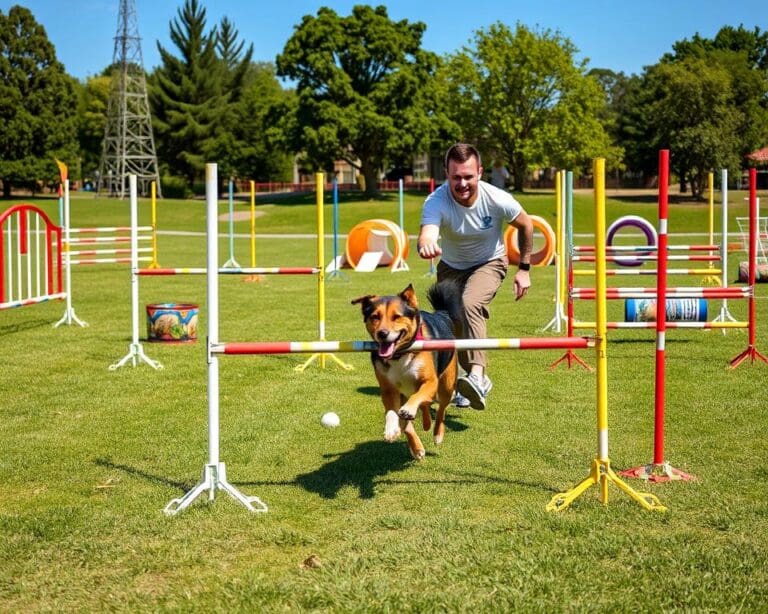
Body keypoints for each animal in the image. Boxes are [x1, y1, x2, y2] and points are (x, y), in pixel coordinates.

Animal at [352, 282, 462, 460]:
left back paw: (437, 433)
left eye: (396, 317)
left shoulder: (430, 381)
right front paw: (395, 432)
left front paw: (409, 409)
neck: (399, 354)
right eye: (375, 316)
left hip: (446, 383)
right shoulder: (388, 389)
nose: (382, 333)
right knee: (424, 406)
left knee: (440, 408)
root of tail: (441, 315)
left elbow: (417, 399)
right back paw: (424, 425)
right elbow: (395, 415)